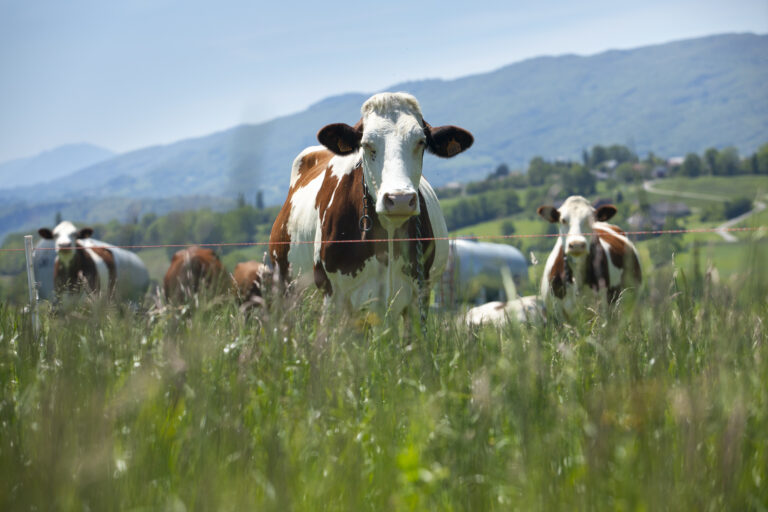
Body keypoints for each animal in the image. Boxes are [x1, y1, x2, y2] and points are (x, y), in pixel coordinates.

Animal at [270, 90, 474, 318]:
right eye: (366, 144)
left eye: (421, 141)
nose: (400, 199)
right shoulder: (333, 296)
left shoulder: (418, 296)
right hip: (287, 293)